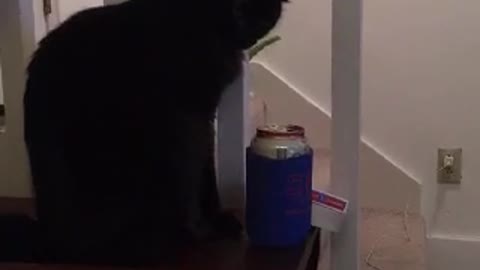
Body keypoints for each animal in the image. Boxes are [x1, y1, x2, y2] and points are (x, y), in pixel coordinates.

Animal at [0, 0, 284, 266]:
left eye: (260, 16)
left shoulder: (204, 116)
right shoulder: (187, 120)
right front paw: (203, 228)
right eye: (236, 8)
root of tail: (45, 240)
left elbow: (205, 168)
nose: (246, 26)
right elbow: (194, 177)